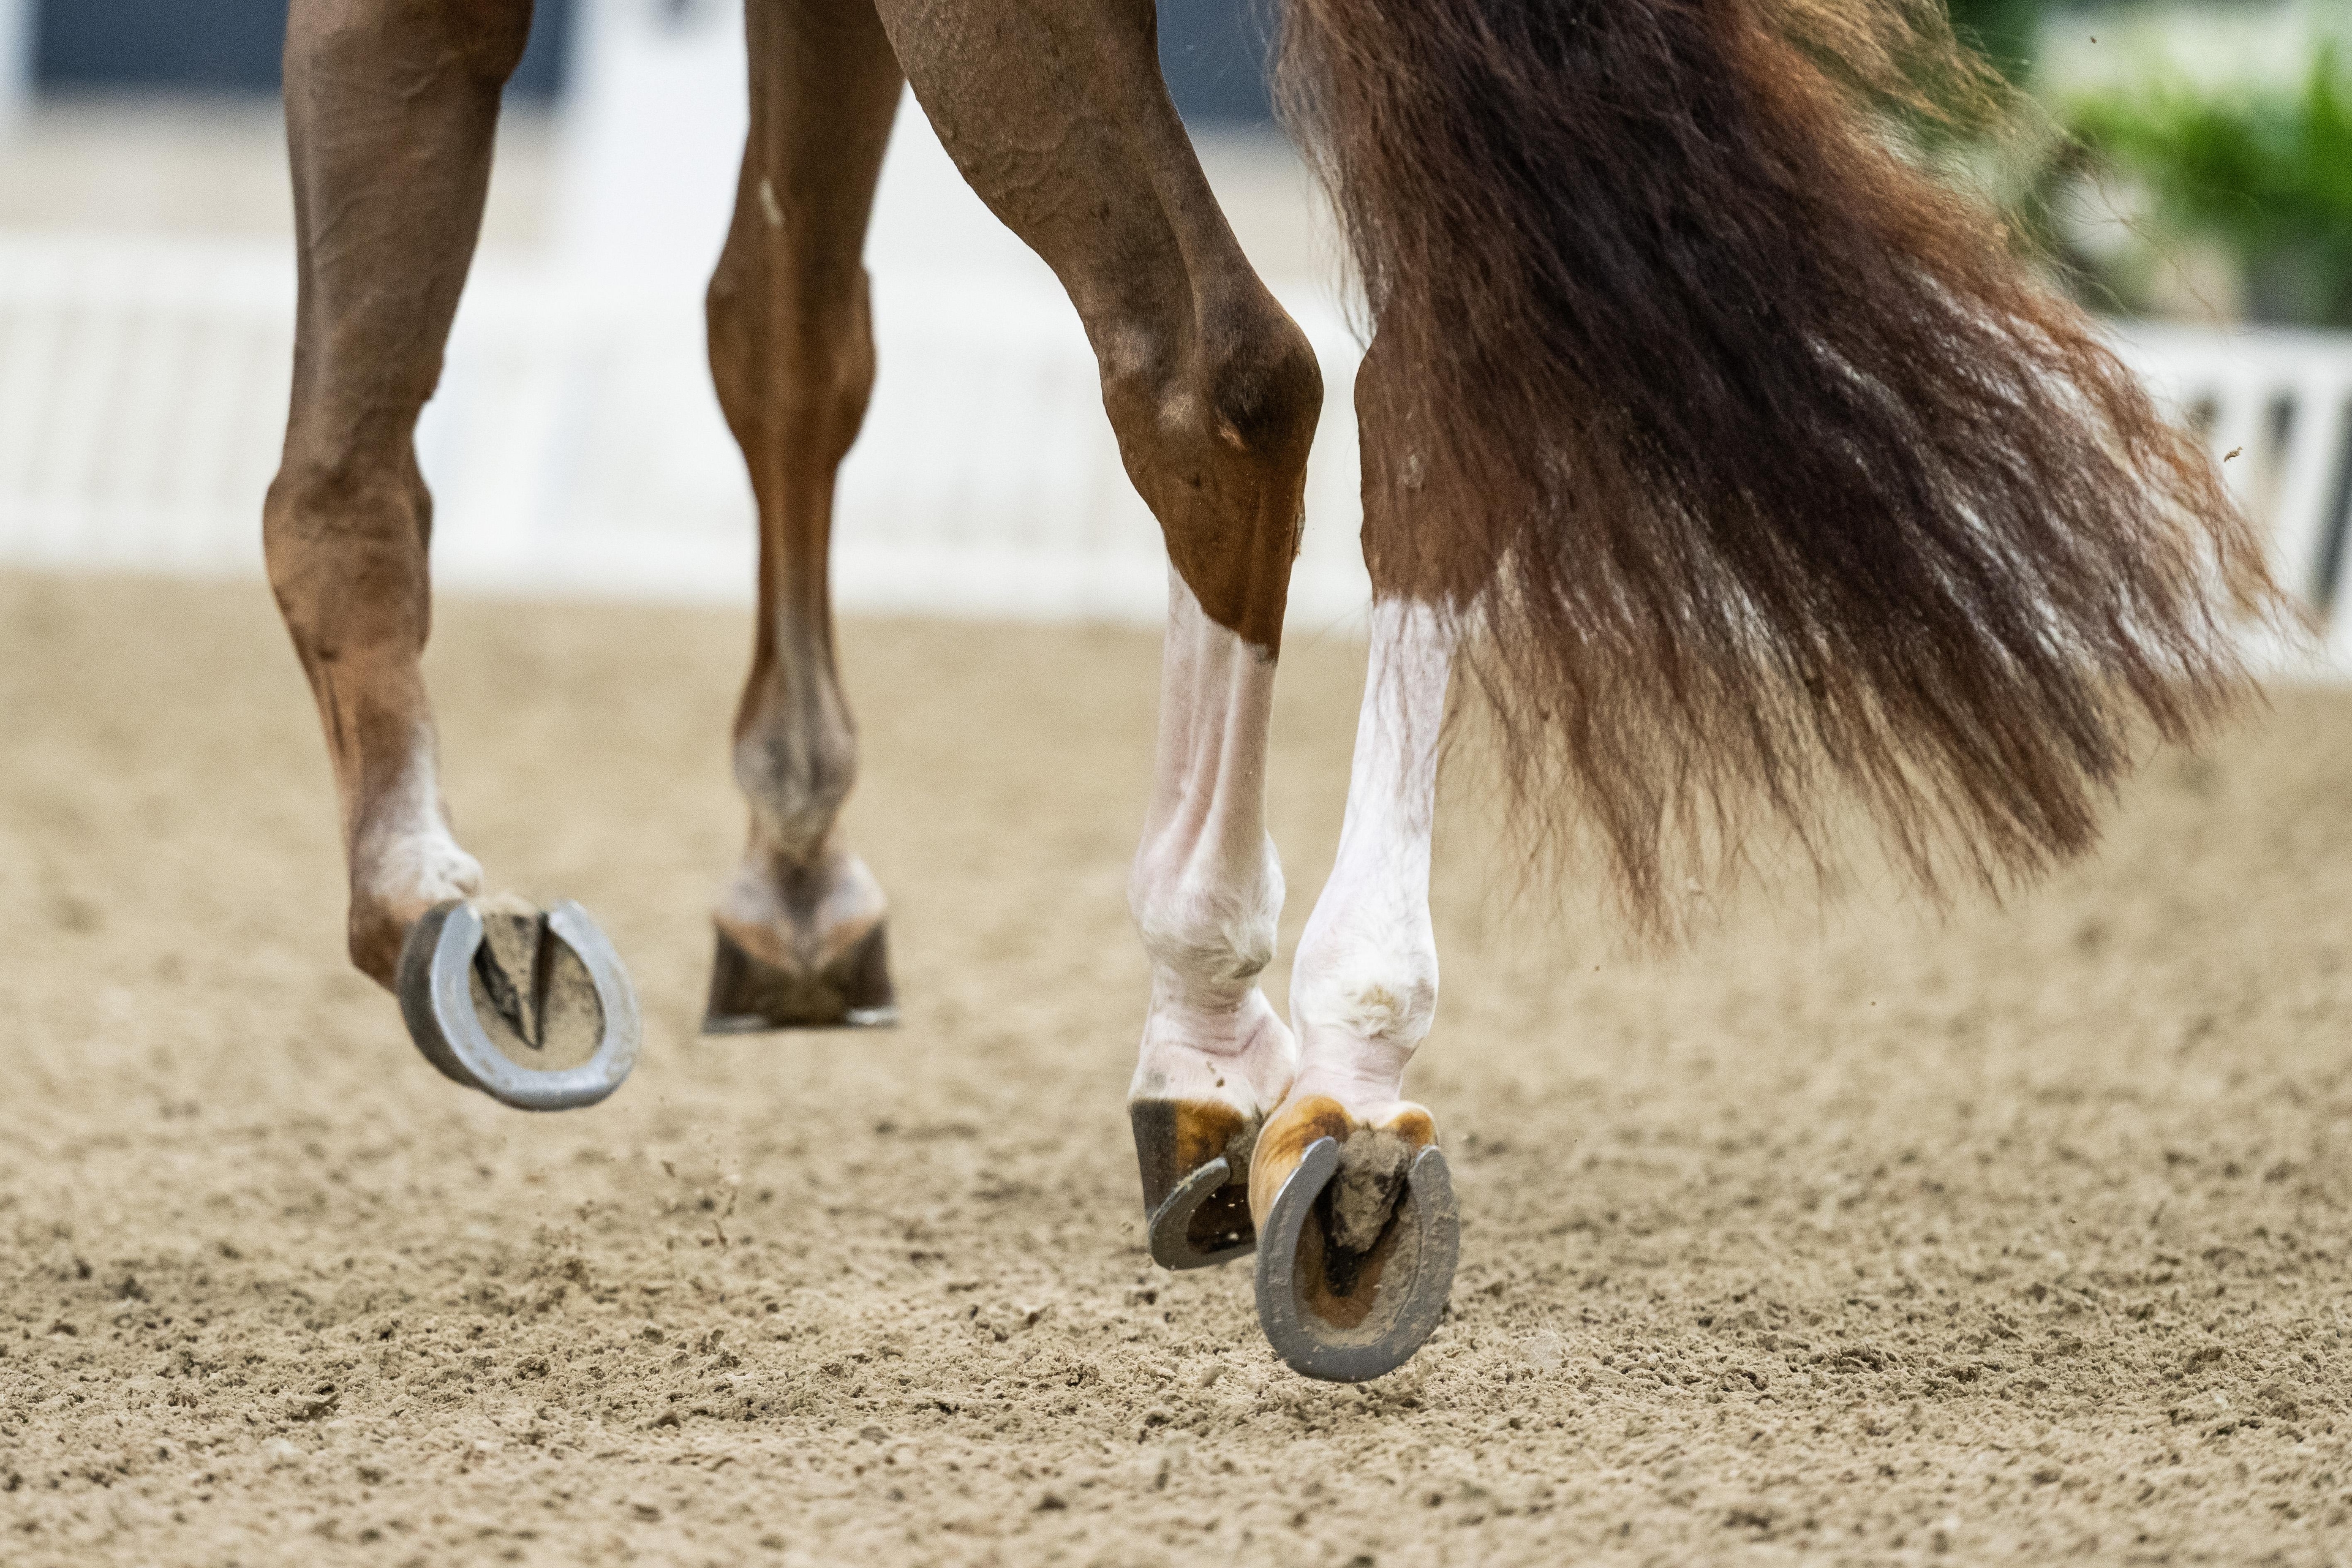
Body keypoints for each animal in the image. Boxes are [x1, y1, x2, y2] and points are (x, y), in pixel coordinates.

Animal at [257, 0, 2277, 1382]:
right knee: (1419, 389)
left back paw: (1246, 1028)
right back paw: (1332, 1066)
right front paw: (795, 871)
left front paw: (433, 904)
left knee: (1210, 380)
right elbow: (789, 333)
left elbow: (359, 452)